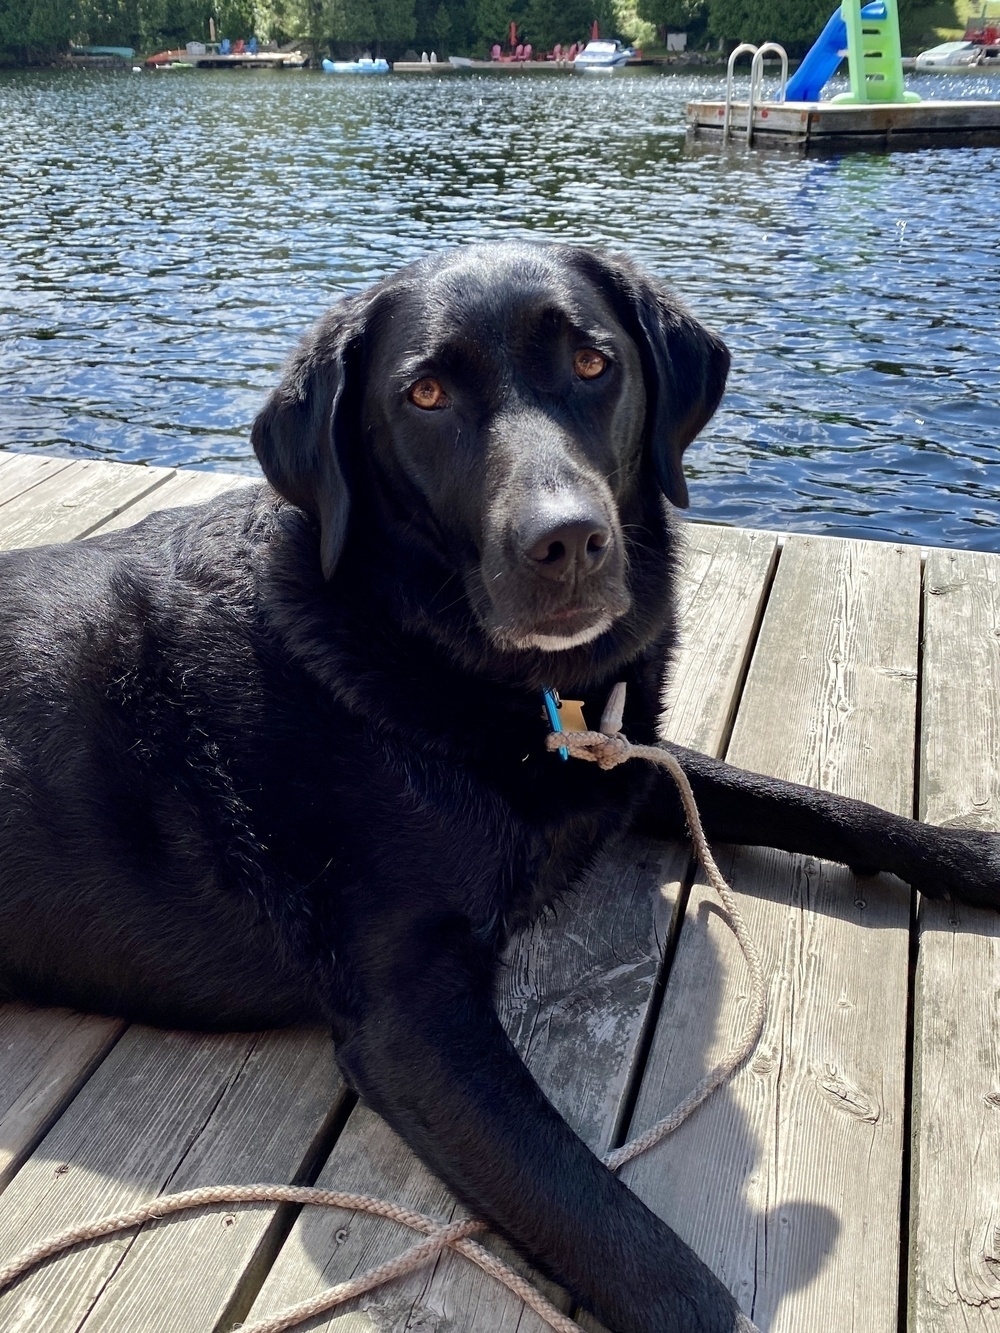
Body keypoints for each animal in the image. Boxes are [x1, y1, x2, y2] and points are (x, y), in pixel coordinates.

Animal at [0, 245, 997, 1333]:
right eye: (425, 394)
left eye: (594, 363)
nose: (566, 541)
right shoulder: (410, 1016)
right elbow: (629, 1242)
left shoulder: (620, 764)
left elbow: (814, 801)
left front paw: (971, 853)